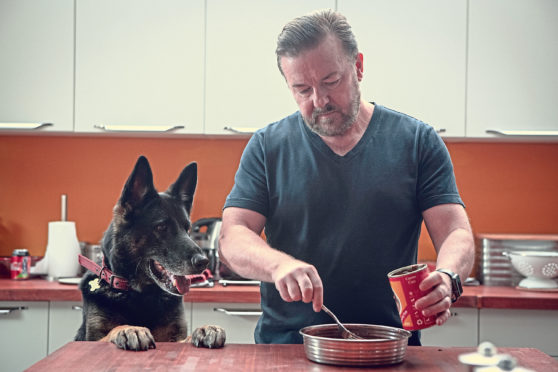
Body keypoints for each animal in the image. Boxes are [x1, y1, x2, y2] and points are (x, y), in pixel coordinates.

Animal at [75, 155, 226, 350]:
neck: (140, 294)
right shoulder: (91, 340)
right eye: (161, 227)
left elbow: (184, 338)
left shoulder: (174, 338)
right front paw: (129, 328)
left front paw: (204, 329)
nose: (203, 262)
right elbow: (112, 330)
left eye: (187, 229)